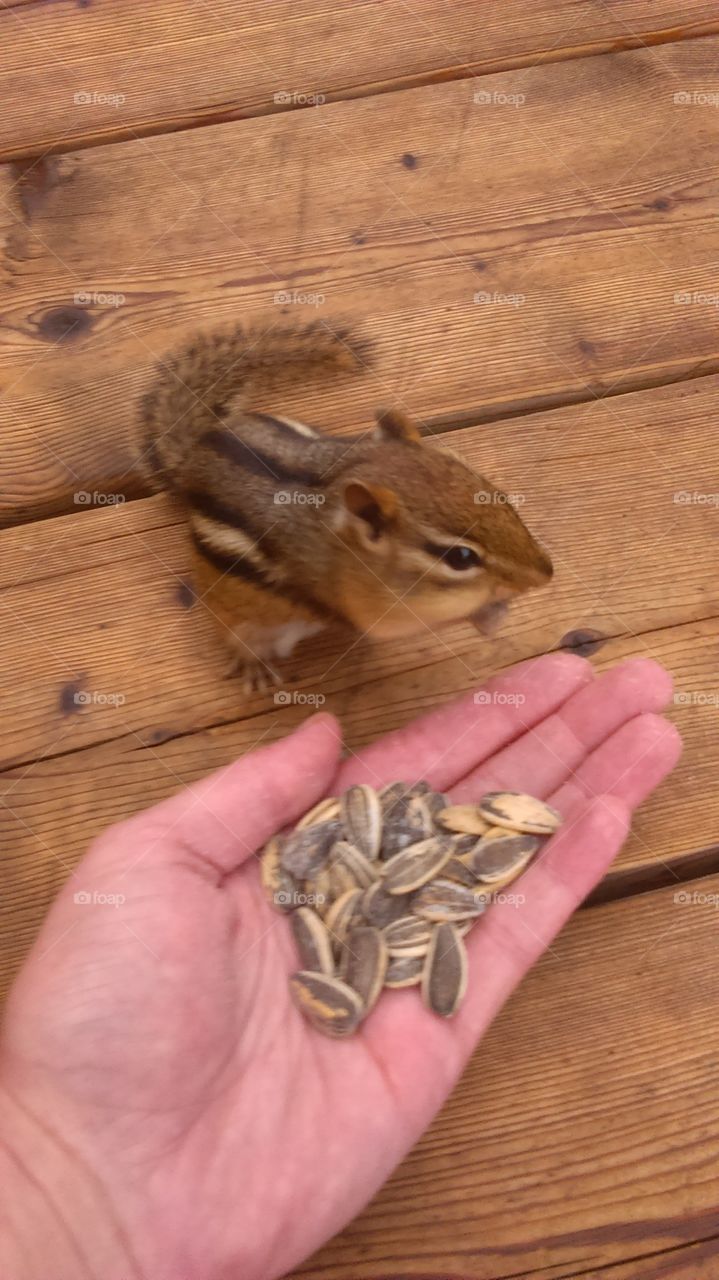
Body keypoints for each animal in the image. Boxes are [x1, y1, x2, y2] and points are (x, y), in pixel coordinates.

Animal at [138, 319, 553, 692]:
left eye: (497, 494)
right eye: (461, 557)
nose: (545, 574)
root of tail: (194, 456)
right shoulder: (367, 607)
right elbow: (401, 626)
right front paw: (488, 615)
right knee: (235, 633)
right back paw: (250, 662)